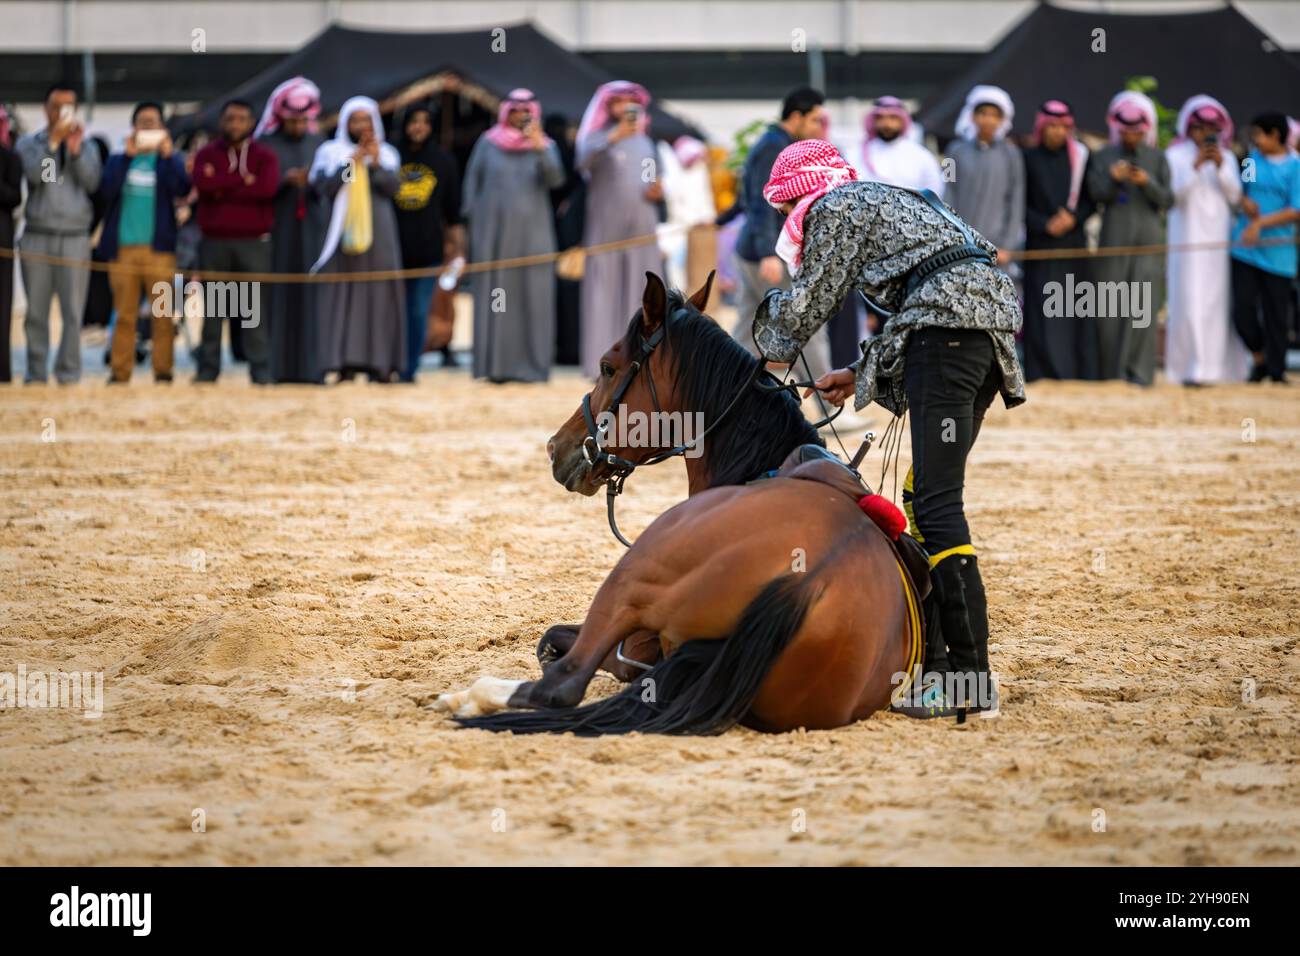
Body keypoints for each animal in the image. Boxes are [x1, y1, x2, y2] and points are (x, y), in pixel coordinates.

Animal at [433, 272, 924, 735]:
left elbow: (552, 645)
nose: (557, 448)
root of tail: (807, 579)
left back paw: (468, 696)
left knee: (562, 684)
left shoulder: (633, 647)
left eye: (607, 366)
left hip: (628, 582)